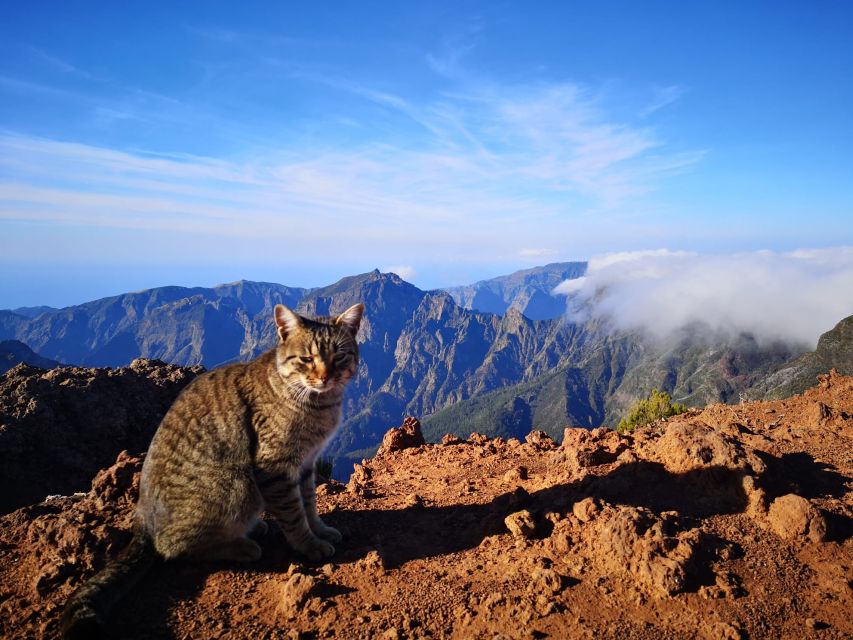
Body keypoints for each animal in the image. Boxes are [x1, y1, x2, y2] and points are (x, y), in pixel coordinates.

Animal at [60, 302, 362, 636]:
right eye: (307, 359)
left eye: (339, 357)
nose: (325, 377)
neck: (318, 404)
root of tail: (143, 525)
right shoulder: (276, 466)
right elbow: (294, 514)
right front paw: (308, 545)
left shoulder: (307, 463)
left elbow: (309, 504)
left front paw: (320, 530)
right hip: (236, 483)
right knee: (174, 549)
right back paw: (242, 546)